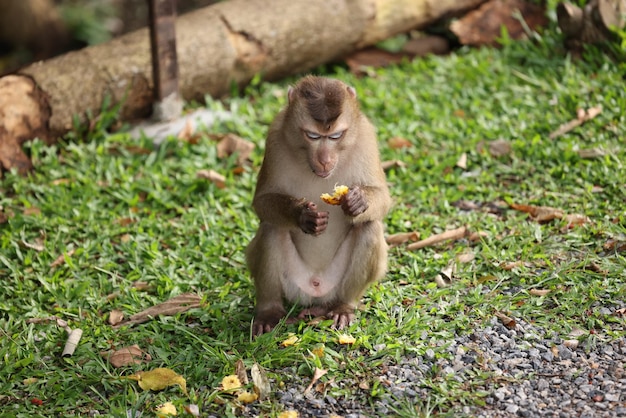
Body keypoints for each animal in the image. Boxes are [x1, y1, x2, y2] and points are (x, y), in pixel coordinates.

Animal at [245, 75, 388, 336]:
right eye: (312, 136)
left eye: (335, 136)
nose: (324, 160)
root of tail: (316, 290)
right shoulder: (275, 136)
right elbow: (262, 202)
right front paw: (302, 215)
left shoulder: (366, 136)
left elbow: (383, 199)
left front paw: (358, 201)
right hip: (293, 284)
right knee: (272, 227)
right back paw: (270, 311)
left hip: (335, 284)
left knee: (369, 226)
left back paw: (342, 306)